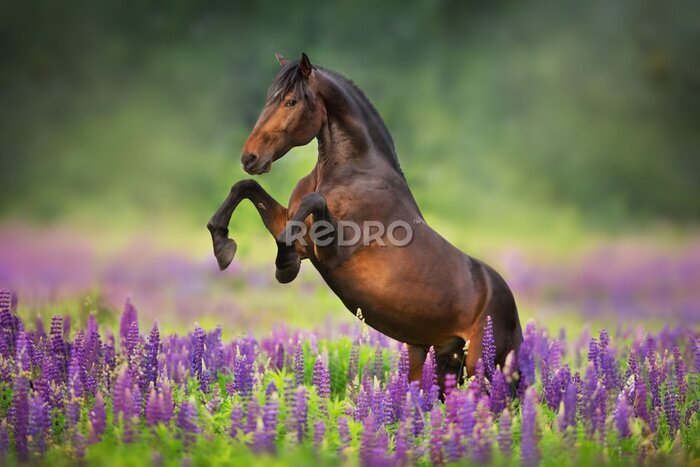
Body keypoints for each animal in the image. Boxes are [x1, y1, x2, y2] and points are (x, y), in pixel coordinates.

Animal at [207, 52, 523, 388]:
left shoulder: (332, 251)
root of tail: (513, 309)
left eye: (290, 101)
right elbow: (245, 188)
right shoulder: (295, 229)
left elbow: (312, 203)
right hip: (435, 358)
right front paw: (223, 246)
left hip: (483, 367)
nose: (249, 158)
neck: (353, 172)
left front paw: (284, 264)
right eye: (270, 98)